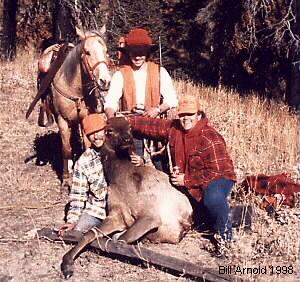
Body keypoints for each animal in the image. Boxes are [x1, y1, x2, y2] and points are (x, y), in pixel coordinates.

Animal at [48, 25, 110, 187]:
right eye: (87, 52)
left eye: (106, 51)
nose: (105, 81)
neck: (74, 89)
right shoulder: (62, 120)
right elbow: (66, 150)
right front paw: (66, 180)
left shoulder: (86, 118)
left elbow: (87, 145)